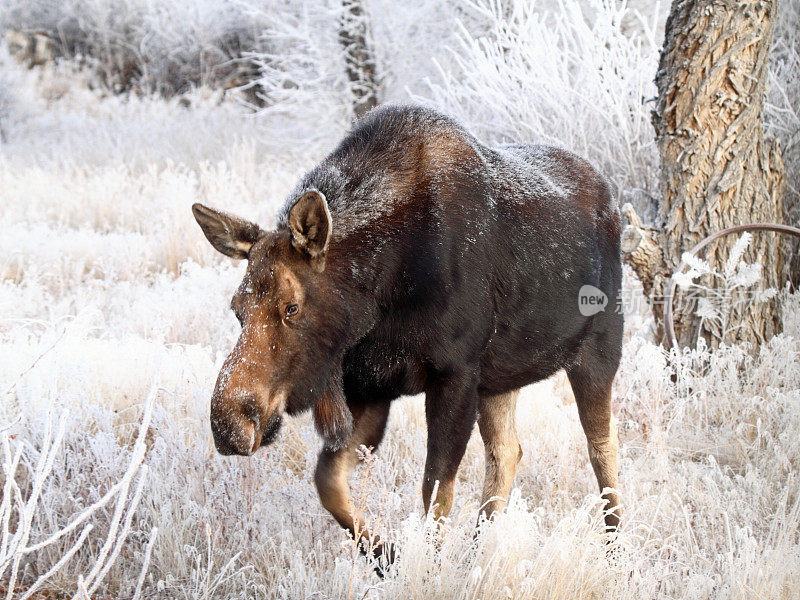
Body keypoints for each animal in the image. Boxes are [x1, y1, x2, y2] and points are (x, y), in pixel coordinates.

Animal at [194, 104, 624, 556]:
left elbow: (435, 494)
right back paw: (477, 554)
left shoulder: (455, 374)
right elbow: (329, 485)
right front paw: (386, 554)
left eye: (291, 306)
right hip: (499, 379)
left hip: (599, 350)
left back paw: (616, 548)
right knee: (507, 452)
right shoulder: (369, 386)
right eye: (237, 309)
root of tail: (612, 199)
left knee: (603, 446)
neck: (380, 292)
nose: (228, 424)